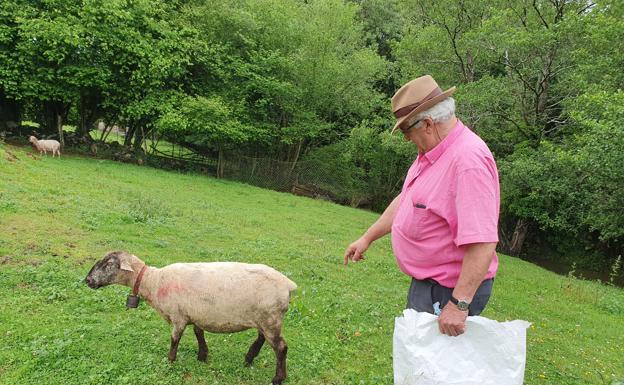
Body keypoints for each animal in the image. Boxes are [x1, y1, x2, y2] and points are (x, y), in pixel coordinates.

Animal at [85, 250, 298, 382]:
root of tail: (288, 285)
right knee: (262, 338)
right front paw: (202, 355)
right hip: (265, 318)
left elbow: (175, 339)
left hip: (270, 319)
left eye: (108, 263)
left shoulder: (178, 316)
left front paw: (170, 360)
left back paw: (278, 378)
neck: (153, 282)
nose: (87, 280)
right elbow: (198, 333)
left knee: (281, 347)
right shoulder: (195, 314)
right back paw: (249, 358)